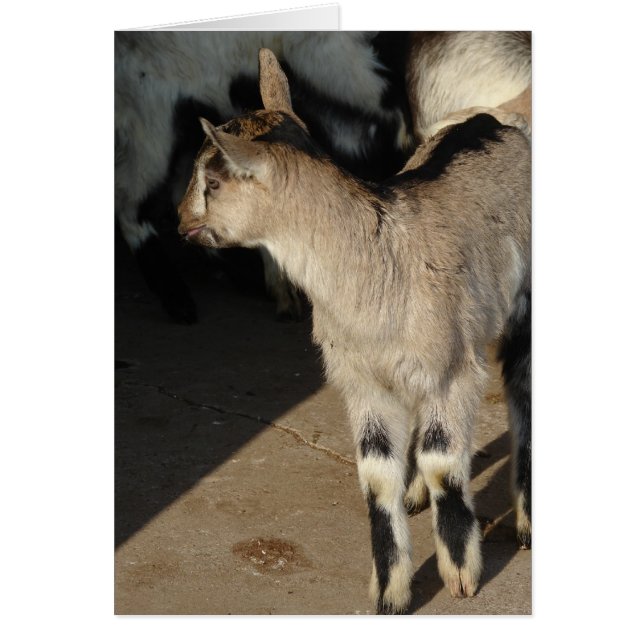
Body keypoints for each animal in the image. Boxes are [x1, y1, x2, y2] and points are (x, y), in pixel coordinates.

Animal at [178, 48, 531, 615]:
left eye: (213, 183)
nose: (180, 221)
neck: (378, 260)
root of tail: (495, 116)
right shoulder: (361, 378)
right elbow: (375, 478)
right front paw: (390, 593)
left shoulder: (451, 369)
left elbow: (443, 464)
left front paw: (460, 576)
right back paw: (417, 496)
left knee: (520, 389)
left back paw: (525, 523)